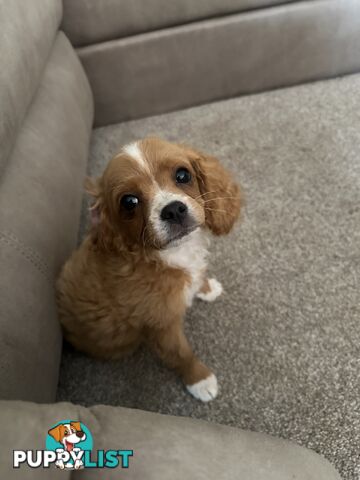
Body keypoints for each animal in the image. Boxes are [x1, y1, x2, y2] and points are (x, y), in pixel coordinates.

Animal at [57, 136, 242, 402]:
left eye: (183, 175)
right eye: (129, 202)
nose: (173, 210)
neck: (170, 255)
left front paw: (205, 288)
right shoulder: (162, 325)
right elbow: (181, 354)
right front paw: (199, 379)